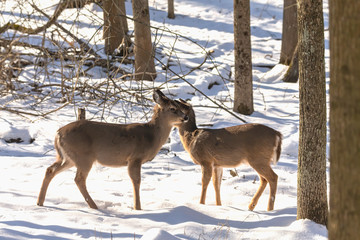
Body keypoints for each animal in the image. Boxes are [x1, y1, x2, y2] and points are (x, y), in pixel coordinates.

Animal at [36, 90, 188, 210]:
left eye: (179, 107)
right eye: (172, 108)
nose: (185, 117)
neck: (151, 136)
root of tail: (58, 134)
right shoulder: (135, 157)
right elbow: (136, 181)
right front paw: (137, 208)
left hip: (68, 157)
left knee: (50, 170)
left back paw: (40, 202)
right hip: (83, 156)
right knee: (78, 179)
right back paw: (94, 206)